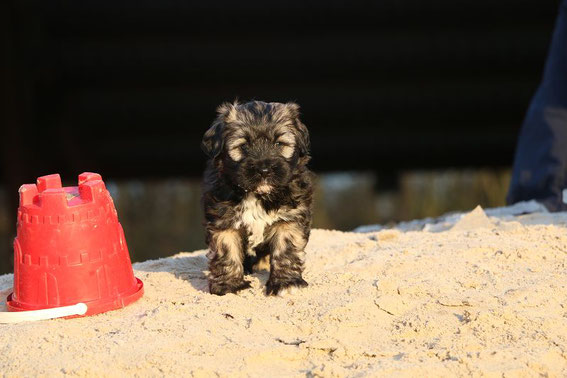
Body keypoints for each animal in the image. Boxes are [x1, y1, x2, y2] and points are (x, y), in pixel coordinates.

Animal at [201, 100, 316, 296]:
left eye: (278, 143)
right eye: (244, 146)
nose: (264, 170)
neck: (257, 195)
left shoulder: (289, 218)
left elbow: (286, 249)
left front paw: (286, 282)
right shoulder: (223, 220)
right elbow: (226, 250)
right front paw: (229, 284)